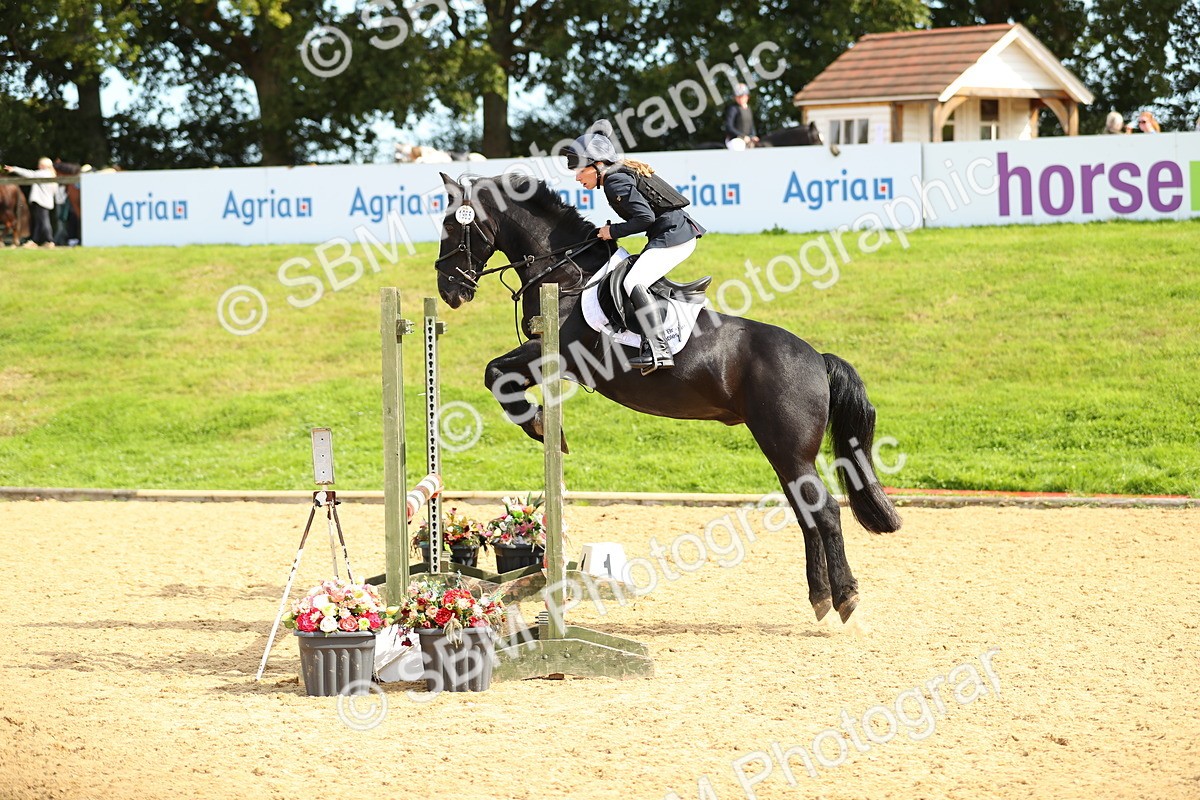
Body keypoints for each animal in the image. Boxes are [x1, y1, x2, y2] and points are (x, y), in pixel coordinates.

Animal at [432, 172, 902, 624]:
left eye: (450, 228)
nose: (448, 293)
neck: (564, 274)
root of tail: (817, 358)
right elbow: (498, 374)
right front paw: (543, 424)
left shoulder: (559, 355)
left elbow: (495, 374)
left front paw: (538, 423)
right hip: (782, 450)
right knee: (807, 512)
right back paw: (820, 598)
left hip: (789, 448)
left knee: (826, 512)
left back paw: (845, 597)